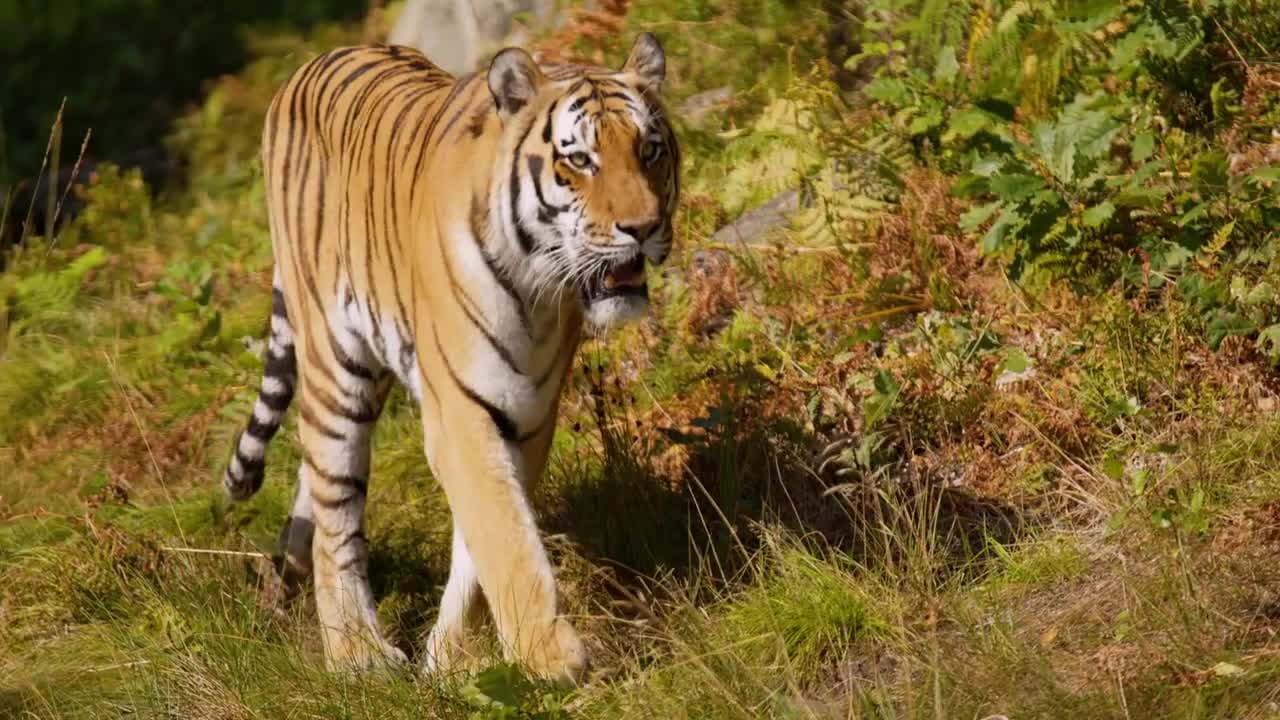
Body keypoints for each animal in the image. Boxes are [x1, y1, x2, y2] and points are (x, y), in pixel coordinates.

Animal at [220, 35, 680, 681]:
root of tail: (310, 63)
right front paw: (549, 655)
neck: (538, 292)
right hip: (335, 366)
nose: (643, 228)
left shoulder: (527, 416)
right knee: (336, 513)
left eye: (650, 150)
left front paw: (451, 659)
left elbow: (480, 543)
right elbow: (503, 533)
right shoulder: (459, 412)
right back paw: (355, 652)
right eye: (580, 161)